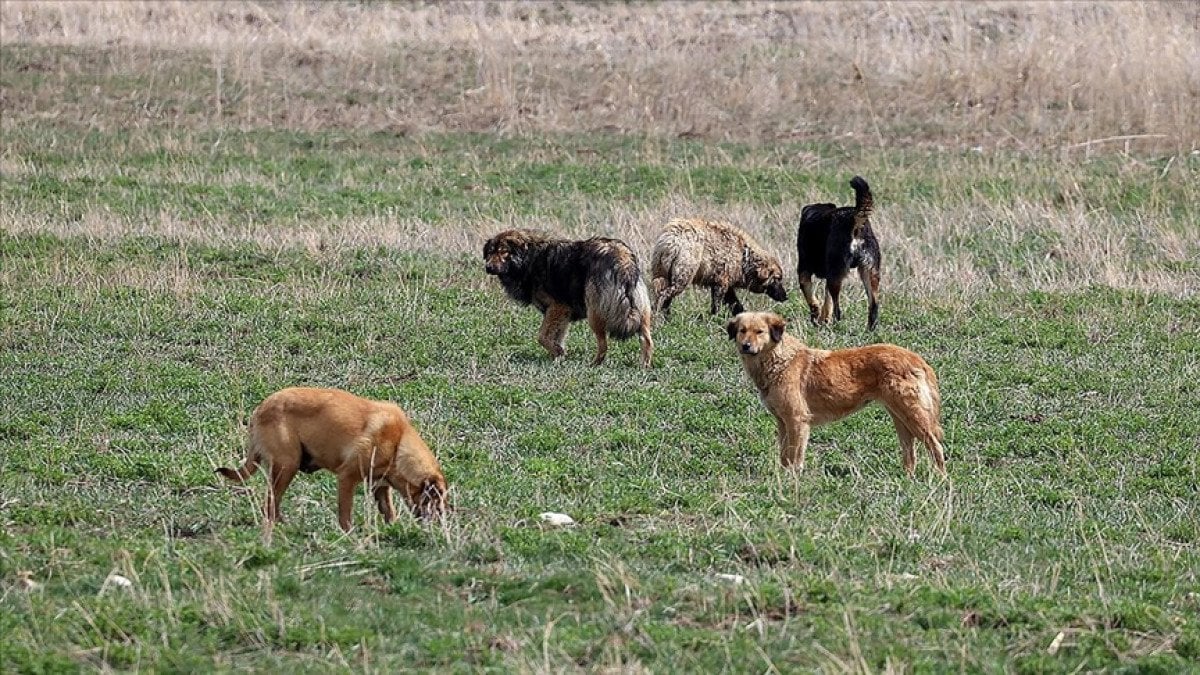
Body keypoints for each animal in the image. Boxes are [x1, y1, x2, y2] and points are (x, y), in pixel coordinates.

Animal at [214, 386, 446, 528]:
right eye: (437, 499)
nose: (444, 520)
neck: (399, 444)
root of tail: (260, 409)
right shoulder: (347, 478)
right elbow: (345, 514)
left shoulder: (379, 485)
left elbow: (389, 511)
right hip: (287, 466)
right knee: (270, 503)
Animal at [482, 228, 657, 365]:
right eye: (490, 252)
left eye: (503, 252)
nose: (488, 267)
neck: (529, 258)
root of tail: (622, 257)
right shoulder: (563, 313)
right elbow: (555, 337)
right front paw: (557, 357)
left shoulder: (557, 307)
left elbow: (542, 337)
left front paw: (558, 352)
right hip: (641, 311)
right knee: (647, 340)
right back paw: (644, 365)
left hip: (594, 313)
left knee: (603, 345)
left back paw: (594, 364)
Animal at [720, 312, 945, 473]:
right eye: (742, 331)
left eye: (760, 331)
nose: (745, 346)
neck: (779, 360)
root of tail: (917, 359)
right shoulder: (782, 422)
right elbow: (784, 456)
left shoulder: (797, 420)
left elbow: (795, 457)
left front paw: (793, 480)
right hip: (901, 418)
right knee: (910, 455)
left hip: (913, 416)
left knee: (936, 447)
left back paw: (940, 479)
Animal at [796, 176, 883, 329]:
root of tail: (855, 220)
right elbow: (827, 303)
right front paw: (822, 319)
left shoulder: (803, 270)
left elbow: (812, 299)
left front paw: (816, 317)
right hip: (869, 273)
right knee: (873, 306)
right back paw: (869, 330)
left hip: (835, 275)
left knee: (838, 309)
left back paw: (837, 327)